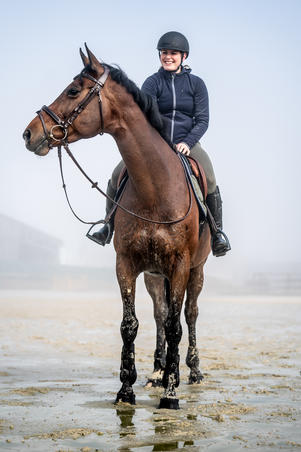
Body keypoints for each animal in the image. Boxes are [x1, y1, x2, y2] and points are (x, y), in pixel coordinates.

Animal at [22, 46, 210, 410]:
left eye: (73, 91)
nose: (29, 133)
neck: (155, 188)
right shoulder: (127, 265)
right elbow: (130, 325)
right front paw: (127, 389)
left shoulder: (180, 265)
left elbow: (177, 326)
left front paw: (171, 394)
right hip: (155, 276)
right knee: (160, 315)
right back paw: (158, 372)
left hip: (195, 271)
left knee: (190, 315)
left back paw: (192, 372)